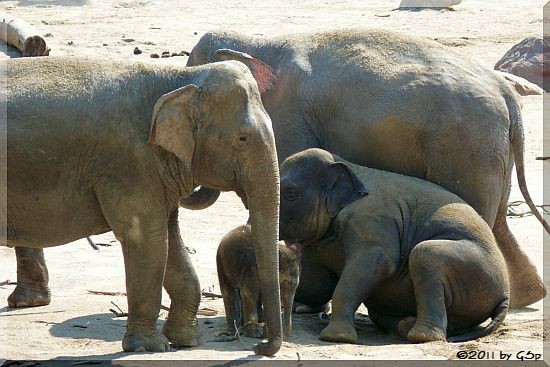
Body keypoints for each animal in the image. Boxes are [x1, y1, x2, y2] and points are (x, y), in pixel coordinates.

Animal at [4, 56, 286, 356]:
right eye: (243, 139)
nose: (258, 346)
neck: (175, 78)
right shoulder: (129, 165)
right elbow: (149, 241)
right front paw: (150, 346)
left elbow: (170, 240)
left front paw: (185, 341)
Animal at [185, 28, 548, 310]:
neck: (258, 43)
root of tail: (505, 91)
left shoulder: (289, 121)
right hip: (490, 152)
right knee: (498, 221)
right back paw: (527, 296)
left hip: (465, 148)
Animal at [278, 148, 512, 344]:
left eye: (291, 193)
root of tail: (505, 295)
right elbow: (318, 285)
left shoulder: (371, 221)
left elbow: (380, 262)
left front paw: (336, 337)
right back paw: (404, 325)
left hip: (477, 271)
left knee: (424, 253)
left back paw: (419, 336)